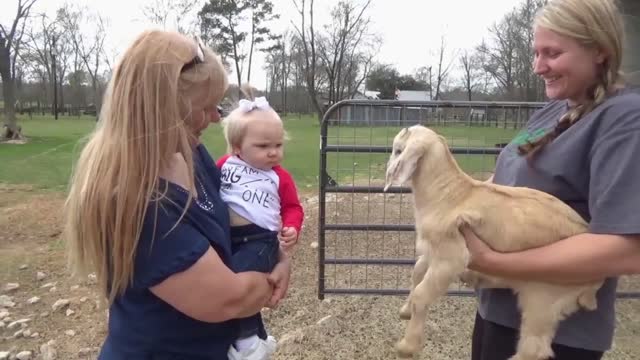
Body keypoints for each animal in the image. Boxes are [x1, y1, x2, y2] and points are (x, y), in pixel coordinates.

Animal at [384, 124, 604, 360]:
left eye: (398, 150)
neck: (451, 195)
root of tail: (596, 284)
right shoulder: (433, 250)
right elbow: (416, 273)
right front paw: (405, 310)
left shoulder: (451, 258)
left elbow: (421, 294)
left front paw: (407, 345)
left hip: (544, 298)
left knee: (535, 348)